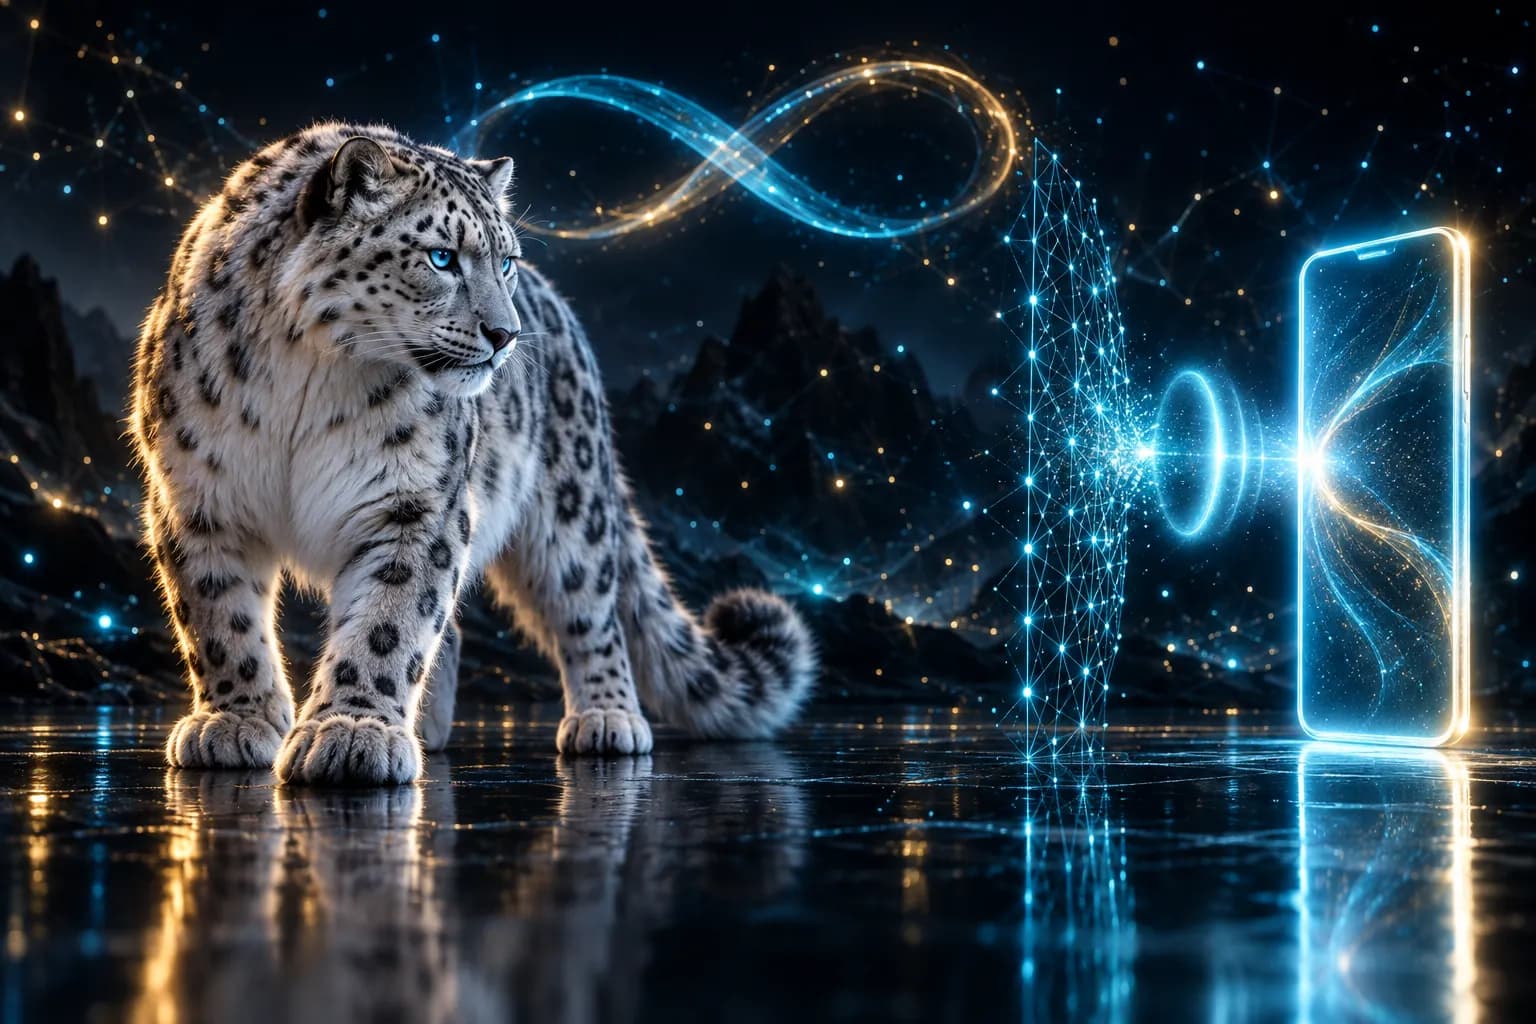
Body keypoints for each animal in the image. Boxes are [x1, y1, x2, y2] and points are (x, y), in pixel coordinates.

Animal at [128, 121, 817, 786]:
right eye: (442, 257)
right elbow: (219, 617)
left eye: (505, 260)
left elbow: (391, 619)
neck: (307, 374)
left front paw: (353, 731)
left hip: (572, 510)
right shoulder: (197, 494)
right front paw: (236, 721)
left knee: (590, 608)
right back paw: (428, 729)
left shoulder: (417, 502)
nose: (505, 334)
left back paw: (607, 718)